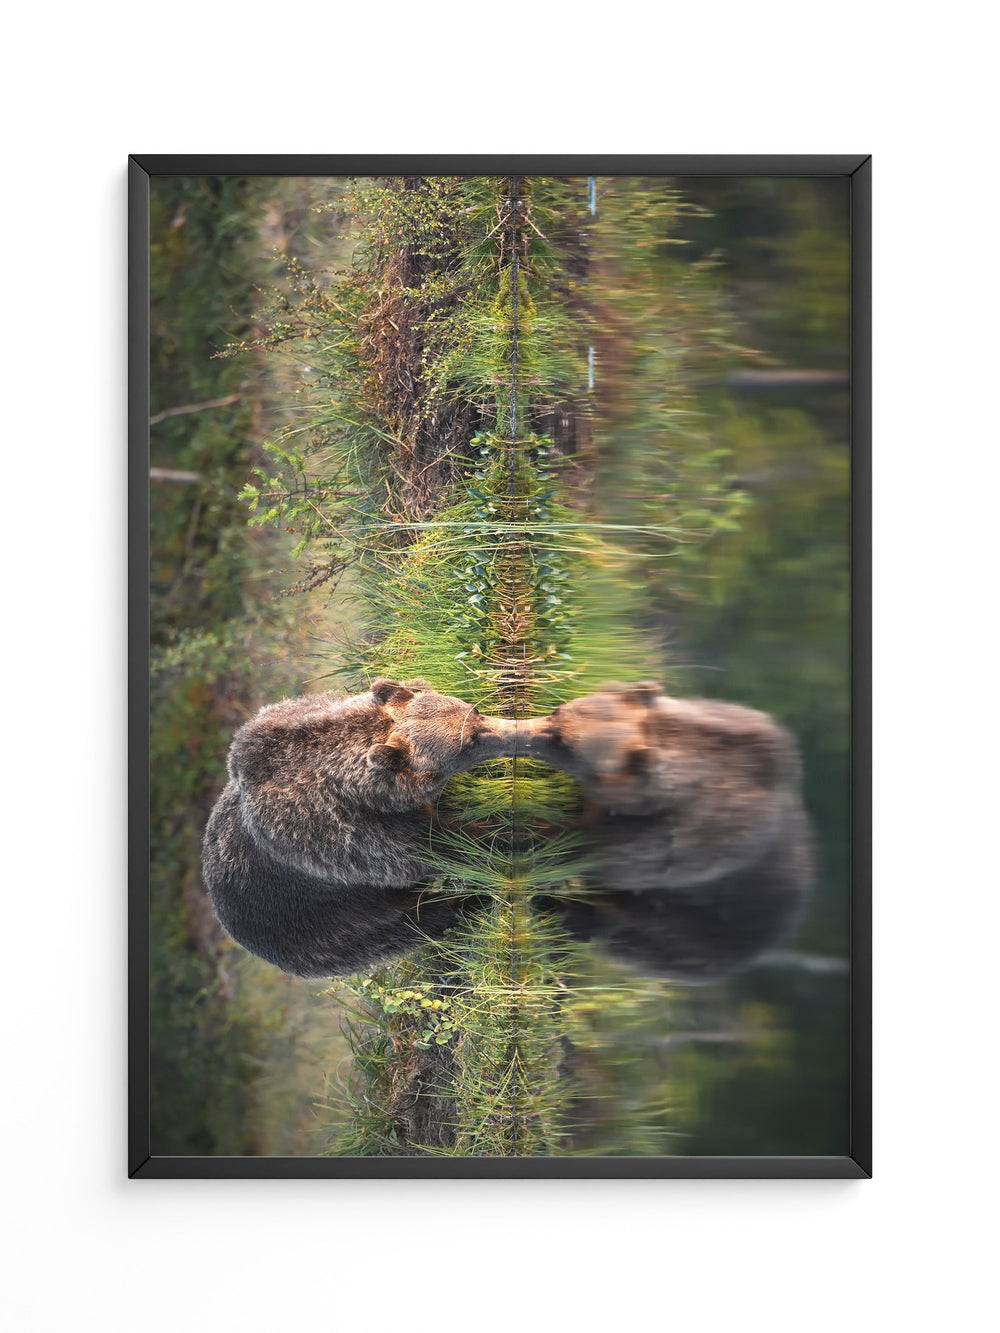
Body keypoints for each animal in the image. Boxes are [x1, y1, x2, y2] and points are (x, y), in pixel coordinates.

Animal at [201, 679, 522, 978]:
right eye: (470, 741)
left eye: (474, 711)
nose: (510, 731)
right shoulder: (340, 835)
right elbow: (438, 847)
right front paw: (511, 832)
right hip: (322, 926)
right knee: (408, 924)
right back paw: (466, 904)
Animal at [521, 683, 814, 981]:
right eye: (559, 711)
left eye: (562, 743)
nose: (521, 733)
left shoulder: (684, 841)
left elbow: (594, 852)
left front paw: (532, 833)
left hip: (690, 931)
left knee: (614, 926)